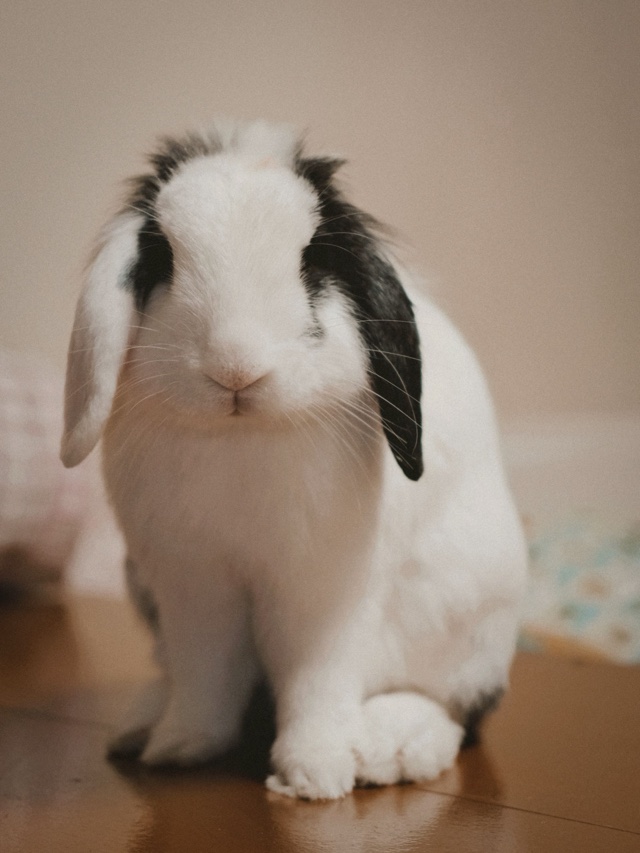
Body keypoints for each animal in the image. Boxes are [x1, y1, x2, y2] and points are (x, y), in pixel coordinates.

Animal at [61, 119, 527, 800]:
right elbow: (206, 673)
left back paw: (389, 748)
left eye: (312, 263)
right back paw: (139, 728)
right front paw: (179, 748)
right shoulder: (191, 584)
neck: (242, 437)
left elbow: (316, 682)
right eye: (163, 258)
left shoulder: (322, 592)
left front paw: (315, 776)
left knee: (458, 707)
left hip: (470, 618)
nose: (235, 369)